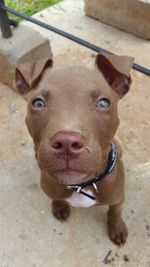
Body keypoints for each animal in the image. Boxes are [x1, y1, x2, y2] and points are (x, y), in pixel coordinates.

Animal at [15, 53, 134, 246]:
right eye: (38, 103)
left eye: (103, 103)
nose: (67, 143)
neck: (81, 185)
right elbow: (56, 197)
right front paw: (59, 206)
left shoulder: (117, 197)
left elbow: (115, 212)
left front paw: (117, 229)